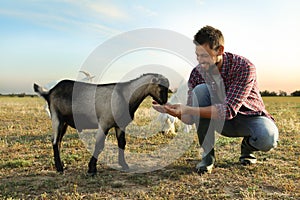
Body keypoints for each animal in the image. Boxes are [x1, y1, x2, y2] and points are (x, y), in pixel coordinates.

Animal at [33, 72, 169, 174]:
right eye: (161, 87)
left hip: (64, 122)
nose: (164, 102)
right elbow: (99, 145)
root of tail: (49, 92)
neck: (124, 95)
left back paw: (61, 165)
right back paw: (60, 168)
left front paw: (124, 165)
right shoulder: (104, 123)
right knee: (55, 141)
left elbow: (122, 143)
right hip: (56, 118)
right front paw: (92, 169)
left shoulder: (120, 125)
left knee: (59, 140)